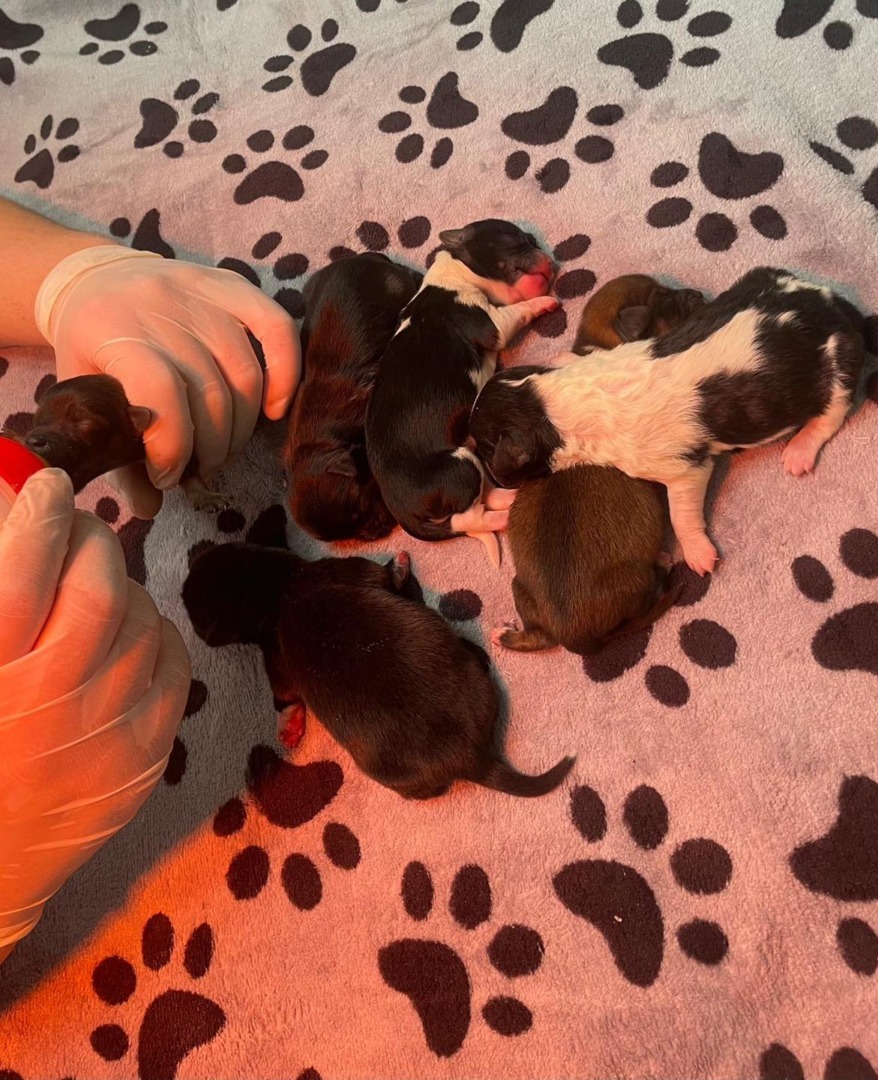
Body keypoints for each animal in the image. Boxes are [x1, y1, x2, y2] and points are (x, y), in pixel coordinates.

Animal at [14, 373, 228, 511]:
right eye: (36, 420)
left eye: (86, 423)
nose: (33, 440)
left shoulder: (184, 446)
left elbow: (189, 470)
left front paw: (207, 496)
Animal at [285, 253, 422, 541]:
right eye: (346, 534)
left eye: (358, 506)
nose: (380, 531)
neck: (324, 441)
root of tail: (363, 257)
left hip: (396, 286)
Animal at [364, 219, 558, 561]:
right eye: (517, 238)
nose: (548, 260)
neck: (456, 272)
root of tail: (404, 514)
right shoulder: (493, 323)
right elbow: (520, 310)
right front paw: (544, 303)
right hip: (460, 465)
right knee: (468, 517)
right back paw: (504, 515)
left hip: (470, 459)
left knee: (484, 497)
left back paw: (510, 497)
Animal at [471, 267, 871, 576]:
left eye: (486, 449)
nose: (493, 479)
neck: (553, 403)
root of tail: (834, 306)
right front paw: (560, 355)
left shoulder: (684, 470)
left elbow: (681, 515)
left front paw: (698, 554)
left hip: (838, 365)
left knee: (831, 413)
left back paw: (799, 451)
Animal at [495, 275, 701, 655]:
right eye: (666, 301)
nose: (697, 294)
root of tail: (576, 636)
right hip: (634, 578)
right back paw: (665, 563)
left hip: (520, 587)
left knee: (536, 636)